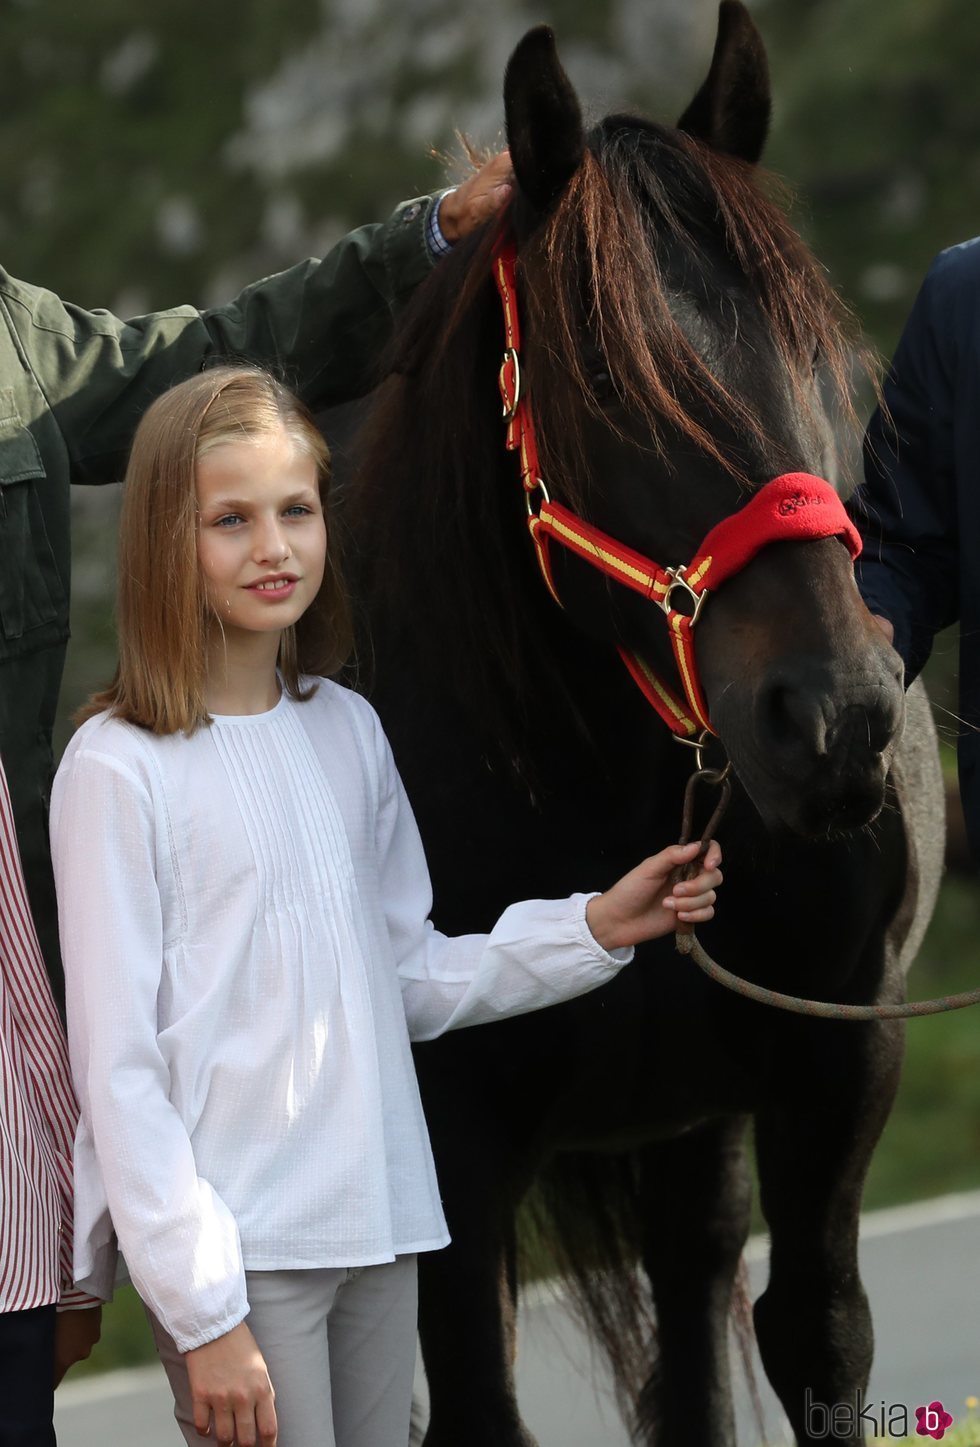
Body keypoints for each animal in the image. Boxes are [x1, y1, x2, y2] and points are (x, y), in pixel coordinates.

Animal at [341, 5, 938, 1441]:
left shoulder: (837, 1059)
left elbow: (818, 1336)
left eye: (814, 346)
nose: (836, 718)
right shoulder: (449, 1149)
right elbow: (475, 1399)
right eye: (606, 374)